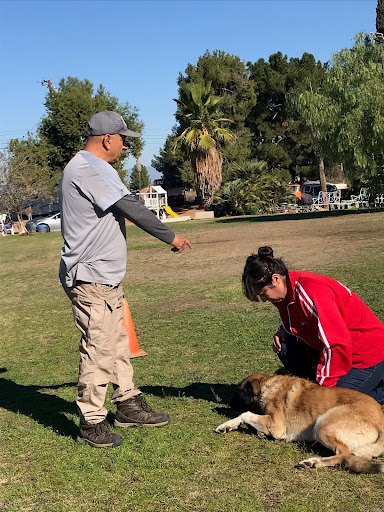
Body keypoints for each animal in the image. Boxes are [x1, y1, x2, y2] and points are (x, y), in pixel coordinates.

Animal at [214, 374, 384, 474]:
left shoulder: (276, 425)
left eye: (238, 392)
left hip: (322, 424)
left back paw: (312, 462)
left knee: (344, 454)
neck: (268, 383)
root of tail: (381, 418)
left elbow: (245, 414)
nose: (229, 403)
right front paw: (231, 426)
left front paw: (229, 423)